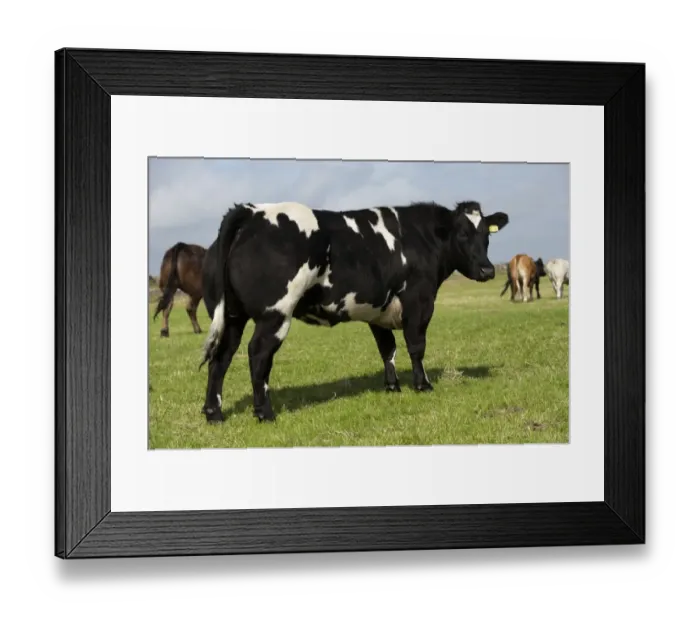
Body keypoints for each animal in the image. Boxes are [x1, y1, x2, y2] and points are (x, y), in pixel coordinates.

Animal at [198, 200, 509, 424]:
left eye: (486, 235)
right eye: (463, 234)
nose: (488, 270)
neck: (420, 238)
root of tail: (252, 211)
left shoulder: (379, 310)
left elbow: (387, 349)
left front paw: (392, 386)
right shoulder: (418, 301)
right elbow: (416, 346)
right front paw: (422, 385)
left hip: (232, 316)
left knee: (222, 357)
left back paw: (214, 413)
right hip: (274, 314)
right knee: (258, 355)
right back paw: (265, 413)